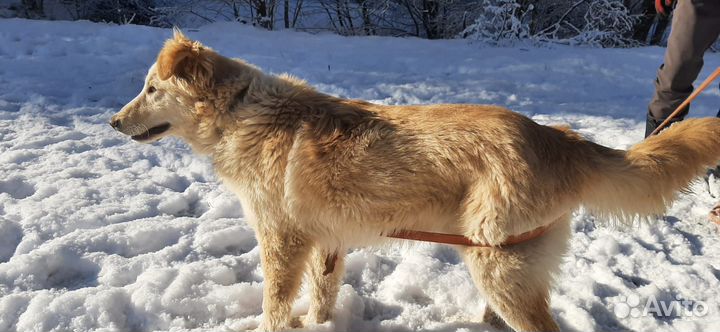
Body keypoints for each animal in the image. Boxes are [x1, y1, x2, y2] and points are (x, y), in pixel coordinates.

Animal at [109, 29, 720, 330]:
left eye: (151, 88)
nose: (112, 122)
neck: (241, 113)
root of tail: (556, 137)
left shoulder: (283, 242)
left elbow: (276, 307)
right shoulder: (327, 244)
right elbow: (321, 300)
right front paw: (321, 324)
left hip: (497, 263)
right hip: (495, 264)